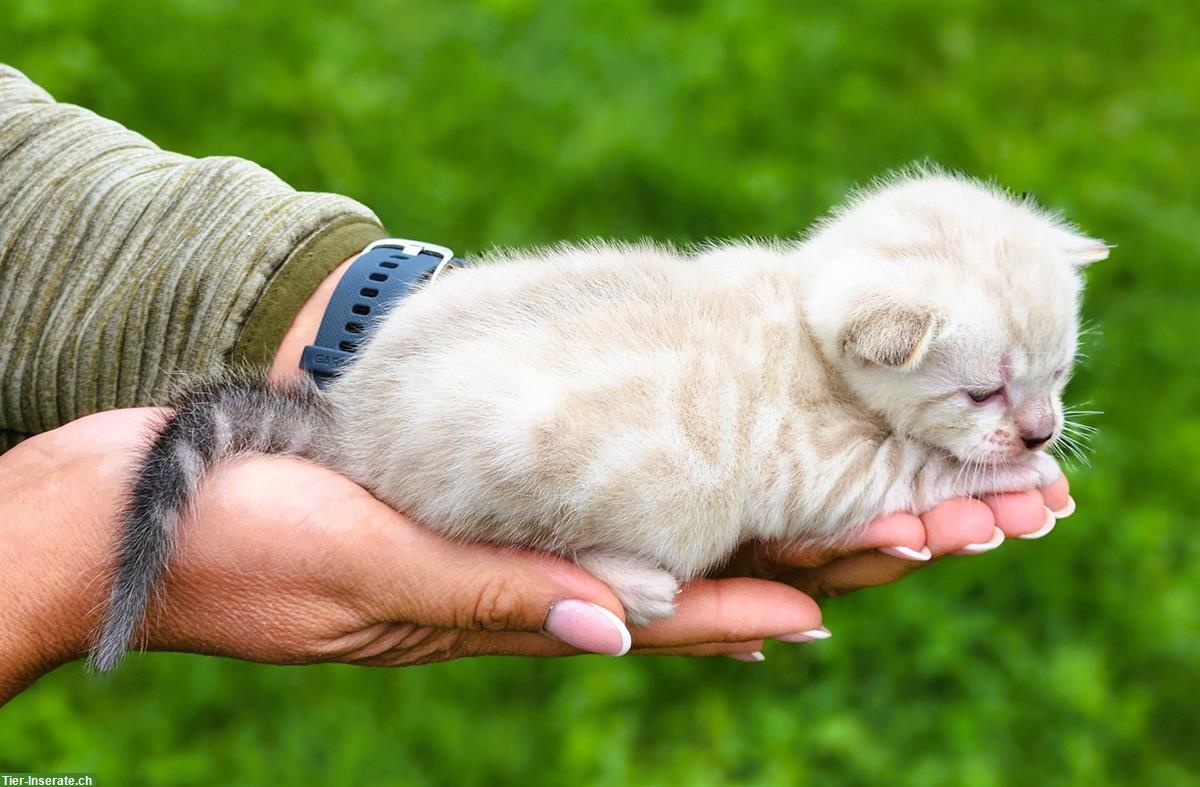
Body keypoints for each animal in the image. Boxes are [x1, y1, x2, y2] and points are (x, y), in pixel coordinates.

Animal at [88, 167, 1108, 671]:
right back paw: (636, 580)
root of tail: (352, 420)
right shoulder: (822, 463)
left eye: (1058, 373)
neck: (801, 313)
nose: (1040, 430)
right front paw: (1016, 474)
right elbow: (917, 466)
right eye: (982, 392)